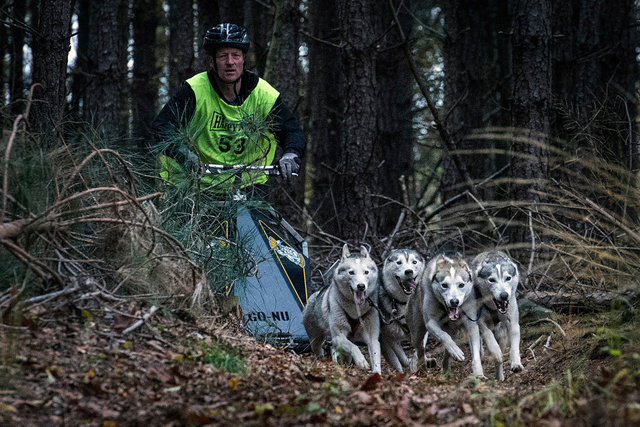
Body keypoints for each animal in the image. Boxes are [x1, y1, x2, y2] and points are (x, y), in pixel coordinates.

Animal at [470, 249, 524, 380]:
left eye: (508, 278)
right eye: (491, 280)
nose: (504, 295)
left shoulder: (513, 322)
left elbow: (514, 346)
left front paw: (516, 363)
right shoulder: (479, 320)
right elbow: (487, 333)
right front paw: (495, 350)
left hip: (502, 335)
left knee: (498, 362)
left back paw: (499, 377)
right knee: (478, 351)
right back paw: (479, 373)